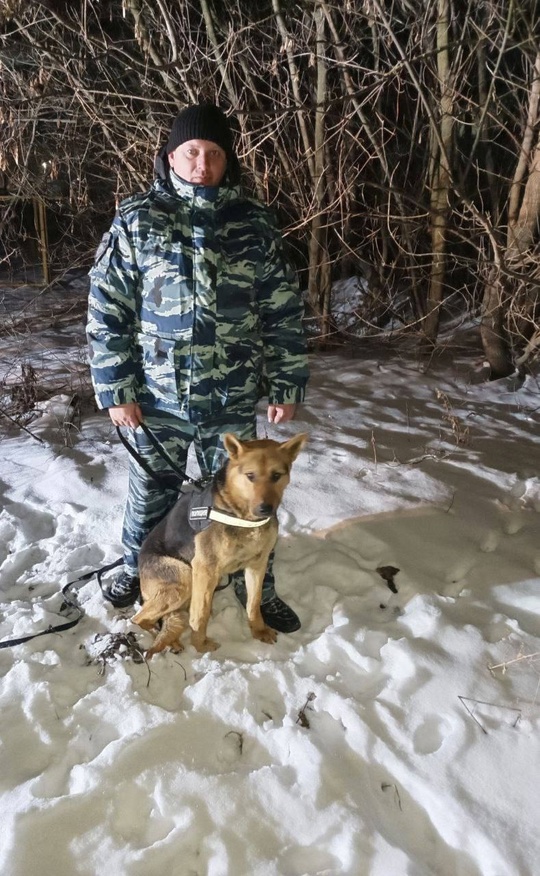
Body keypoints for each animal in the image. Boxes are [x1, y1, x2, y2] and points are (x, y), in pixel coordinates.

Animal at [132, 432, 306, 656]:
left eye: (276, 476)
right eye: (250, 476)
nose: (265, 509)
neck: (242, 517)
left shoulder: (257, 565)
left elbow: (254, 603)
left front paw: (258, 630)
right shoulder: (204, 570)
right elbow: (200, 615)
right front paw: (200, 645)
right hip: (184, 576)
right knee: (140, 619)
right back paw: (166, 639)